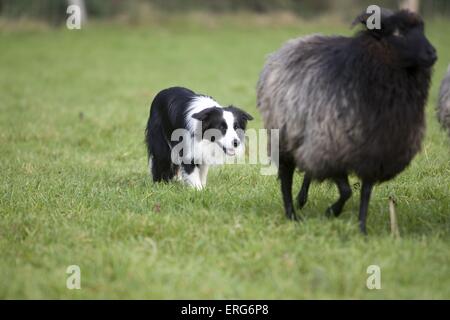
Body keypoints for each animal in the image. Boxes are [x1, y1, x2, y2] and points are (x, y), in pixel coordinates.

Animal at [256, 6, 436, 232]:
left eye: (423, 29)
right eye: (398, 32)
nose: (433, 53)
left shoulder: (377, 153)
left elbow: (365, 194)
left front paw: (362, 228)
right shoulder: (333, 148)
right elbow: (346, 191)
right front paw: (331, 212)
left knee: (307, 170)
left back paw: (301, 200)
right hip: (285, 135)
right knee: (287, 176)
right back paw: (292, 214)